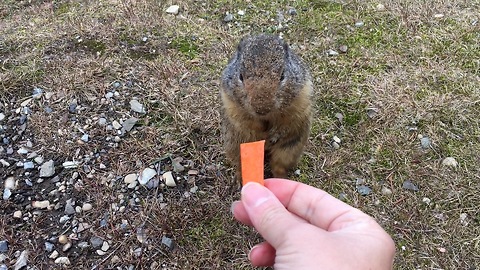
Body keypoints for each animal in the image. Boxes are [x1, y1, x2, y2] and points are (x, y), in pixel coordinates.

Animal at [220, 33, 314, 181]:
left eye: (282, 76)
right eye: (240, 76)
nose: (262, 109)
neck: (267, 117)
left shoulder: (299, 101)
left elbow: (287, 122)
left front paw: (274, 135)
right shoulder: (232, 106)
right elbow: (247, 122)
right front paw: (261, 135)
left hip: (291, 147)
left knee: (279, 166)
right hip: (234, 147)